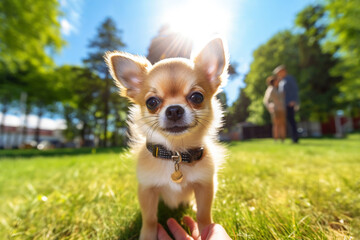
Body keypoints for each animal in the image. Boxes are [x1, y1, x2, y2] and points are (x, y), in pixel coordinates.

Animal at [105, 38, 228, 240]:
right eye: (152, 102)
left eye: (197, 97)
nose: (174, 110)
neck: (175, 153)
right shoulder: (147, 189)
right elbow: (149, 219)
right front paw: (147, 236)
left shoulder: (205, 185)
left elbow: (203, 214)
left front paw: (205, 231)